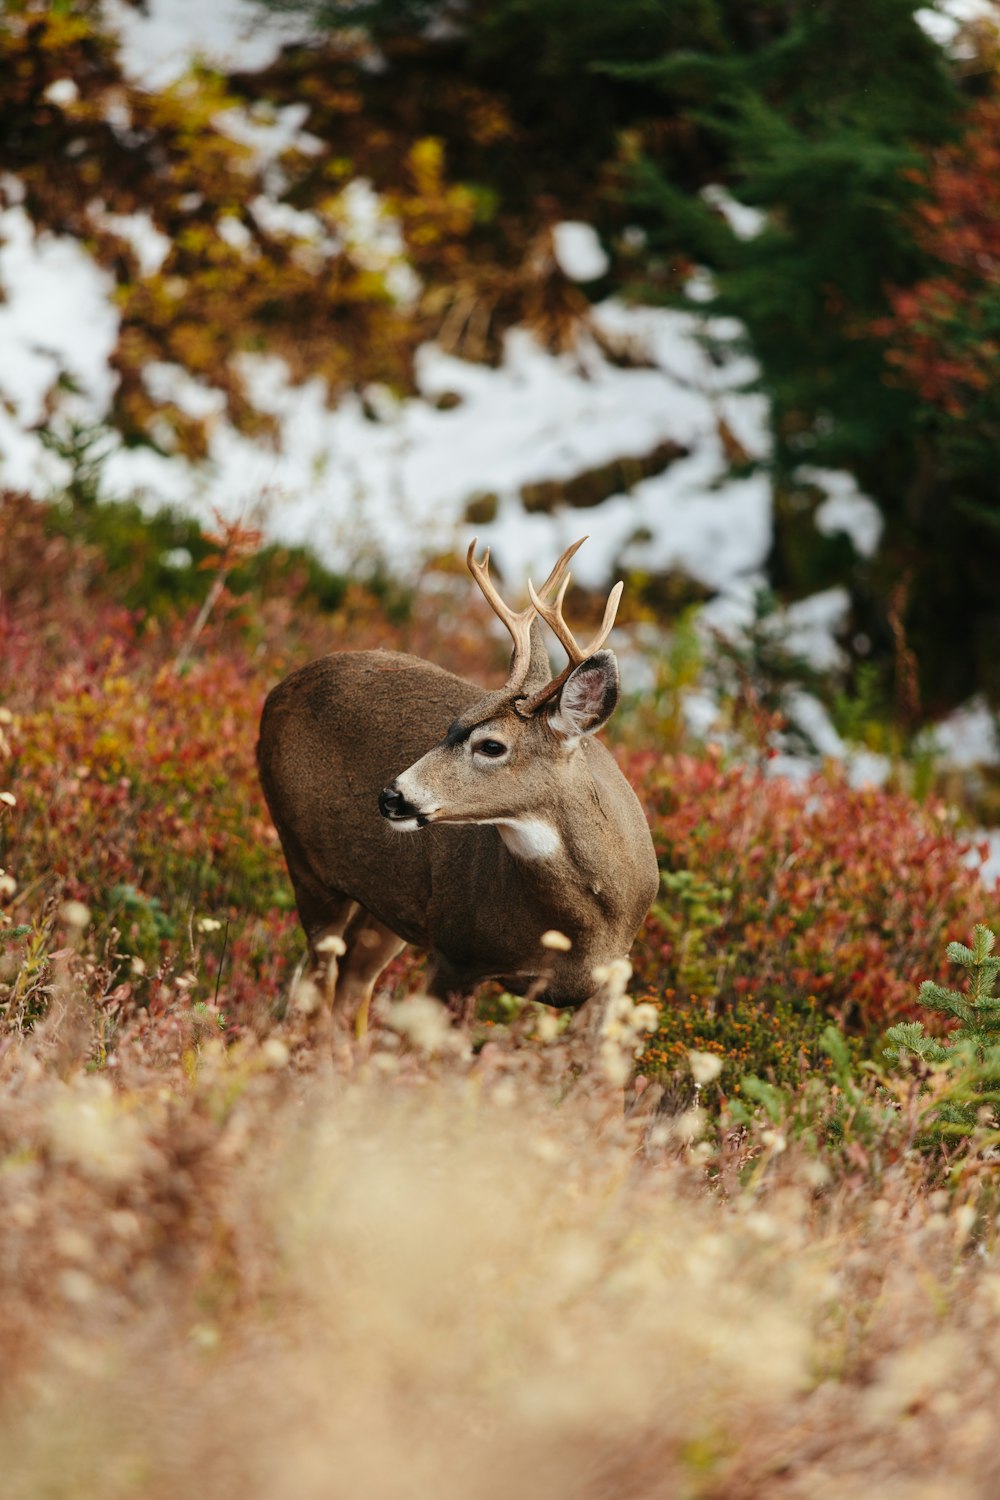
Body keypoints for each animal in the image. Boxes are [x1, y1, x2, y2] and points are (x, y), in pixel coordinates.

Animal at [257, 534, 659, 1038]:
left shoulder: (611, 980)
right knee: (318, 981)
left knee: (350, 984)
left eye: (491, 745)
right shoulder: (455, 953)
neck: (583, 928)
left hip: (388, 904)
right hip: (305, 858)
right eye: (451, 725)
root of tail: (276, 692)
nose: (391, 796)